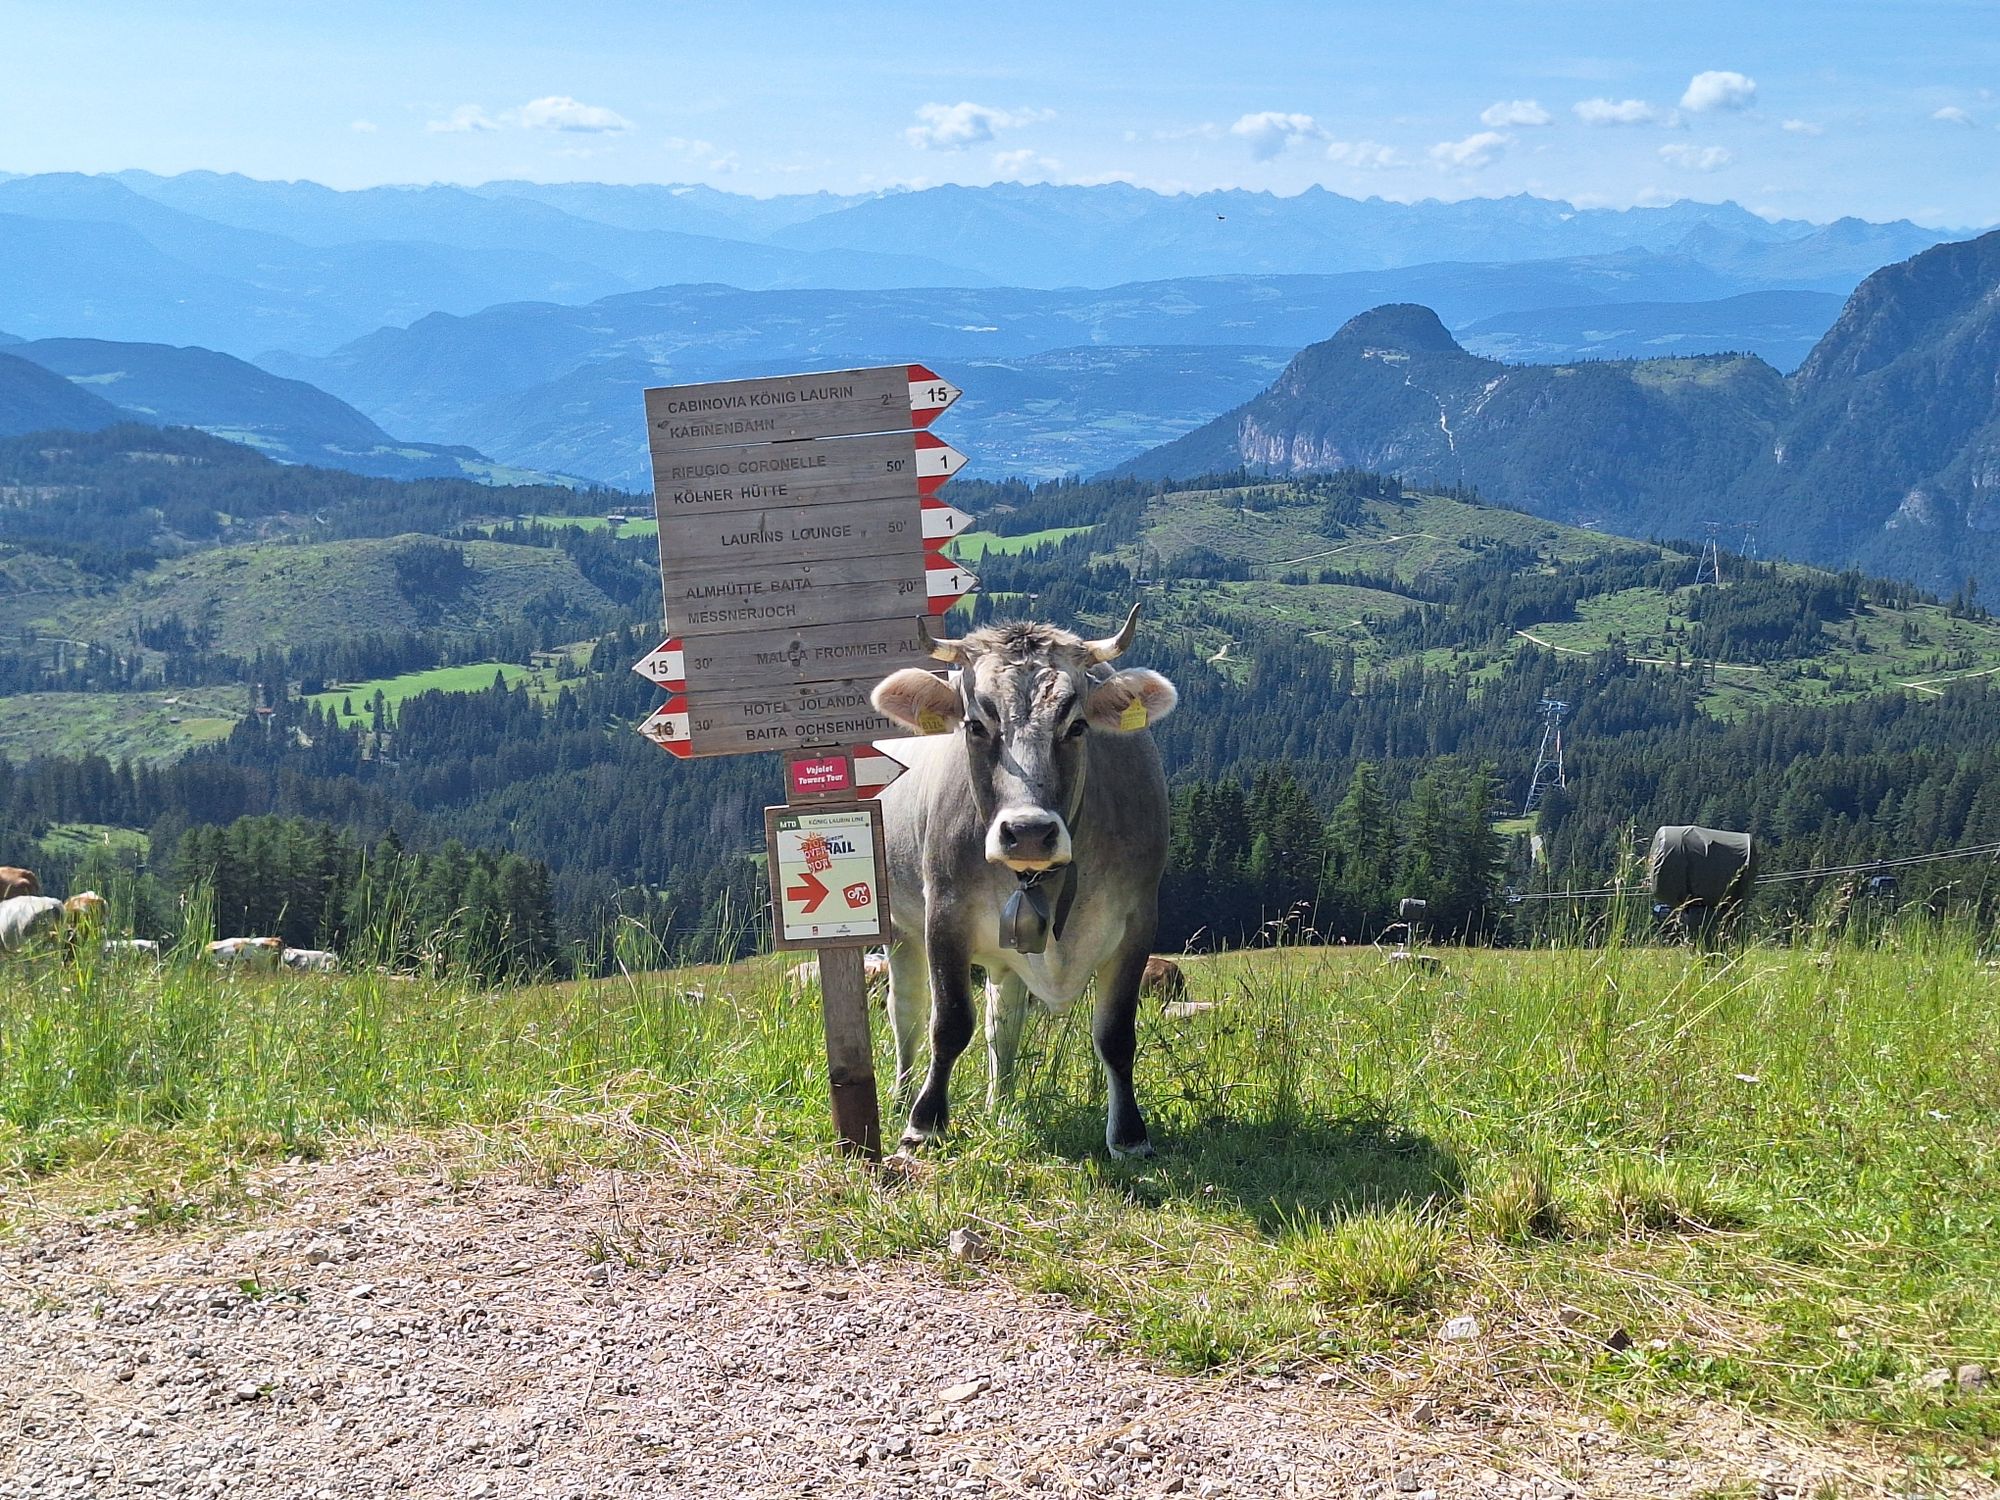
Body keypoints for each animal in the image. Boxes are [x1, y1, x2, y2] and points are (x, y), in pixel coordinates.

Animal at [869, 604, 1178, 1158]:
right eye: (974, 724)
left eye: (1077, 726)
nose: (1029, 831)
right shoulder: (944, 913)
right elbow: (949, 1021)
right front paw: (924, 1124)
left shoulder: (1139, 920)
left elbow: (1116, 1034)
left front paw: (1129, 1137)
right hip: (900, 929)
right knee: (906, 1010)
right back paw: (904, 1093)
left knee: (1004, 1020)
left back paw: (1003, 1104)